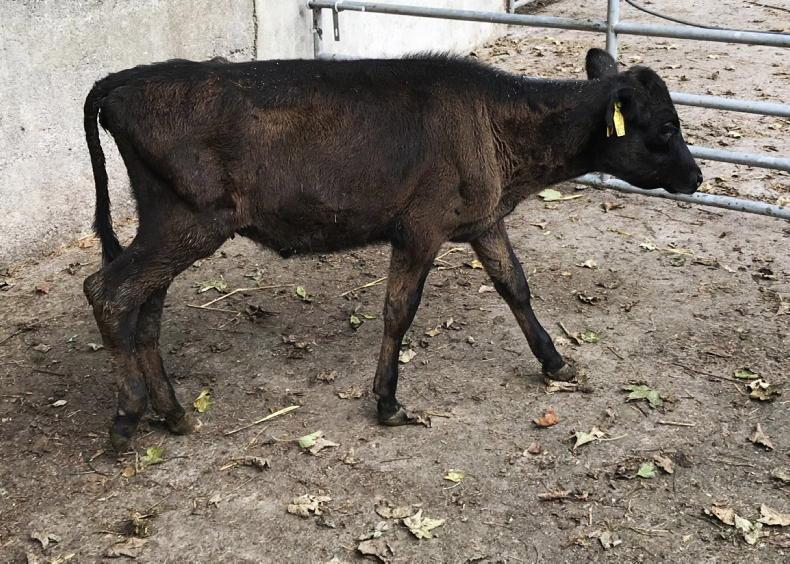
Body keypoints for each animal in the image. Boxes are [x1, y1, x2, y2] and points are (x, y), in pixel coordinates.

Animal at [82, 48, 702, 450]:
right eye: (667, 128)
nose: (697, 177)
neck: (497, 126)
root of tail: (123, 80)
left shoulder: (482, 219)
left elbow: (515, 285)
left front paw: (555, 362)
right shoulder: (420, 227)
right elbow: (398, 312)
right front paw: (387, 403)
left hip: (168, 223)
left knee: (146, 314)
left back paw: (173, 414)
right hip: (188, 224)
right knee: (106, 291)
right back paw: (127, 415)